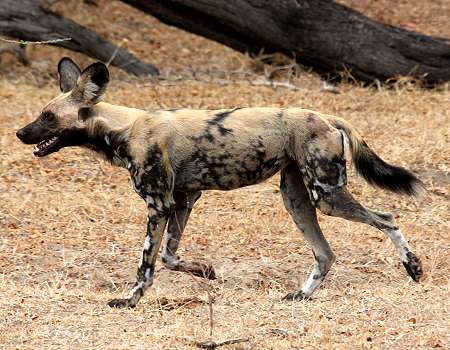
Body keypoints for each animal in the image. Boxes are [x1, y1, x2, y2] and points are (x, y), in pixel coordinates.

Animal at [17, 58, 424, 308]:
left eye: (48, 116)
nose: (20, 132)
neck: (123, 127)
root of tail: (325, 115)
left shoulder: (158, 206)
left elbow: (146, 263)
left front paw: (130, 300)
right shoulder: (184, 200)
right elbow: (169, 256)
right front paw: (206, 272)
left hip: (327, 196)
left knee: (387, 218)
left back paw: (413, 267)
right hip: (296, 198)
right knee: (326, 253)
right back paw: (301, 294)